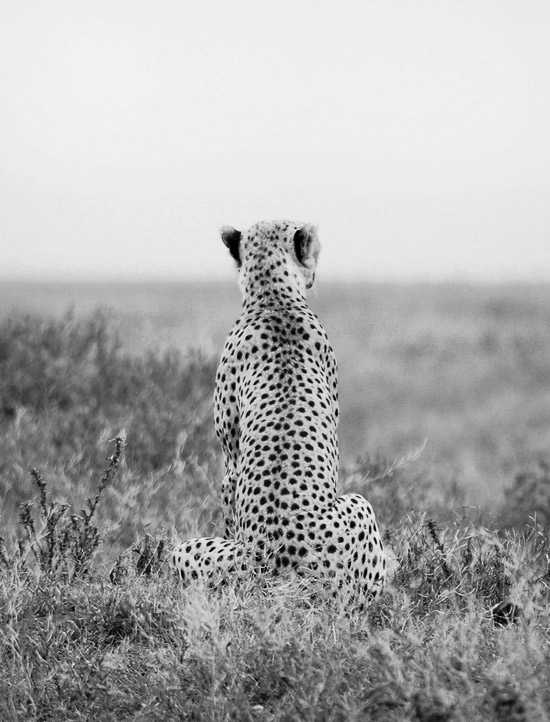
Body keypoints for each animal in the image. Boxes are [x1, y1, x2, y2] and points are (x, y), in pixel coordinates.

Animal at [172, 218, 388, 608]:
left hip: (184, 551)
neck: (274, 297)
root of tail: (280, 573)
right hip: (359, 507)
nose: (315, 271)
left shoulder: (230, 459)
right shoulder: (230, 456)